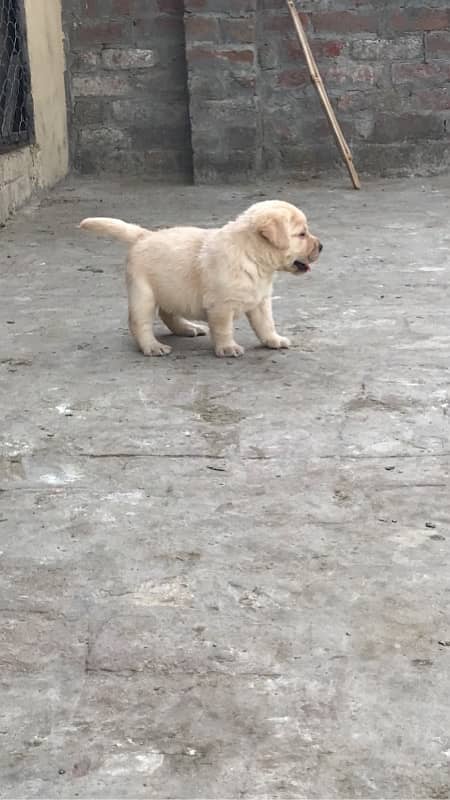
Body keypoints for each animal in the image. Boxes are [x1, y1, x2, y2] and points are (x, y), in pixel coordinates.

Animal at [79, 200, 322, 360]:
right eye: (301, 234)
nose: (321, 246)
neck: (251, 256)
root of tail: (144, 235)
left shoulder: (260, 300)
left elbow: (266, 324)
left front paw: (274, 340)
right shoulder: (221, 305)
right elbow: (224, 329)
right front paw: (227, 348)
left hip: (172, 290)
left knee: (167, 313)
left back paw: (188, 328)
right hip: (143, 294)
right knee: (140, 323)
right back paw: (153, 346)